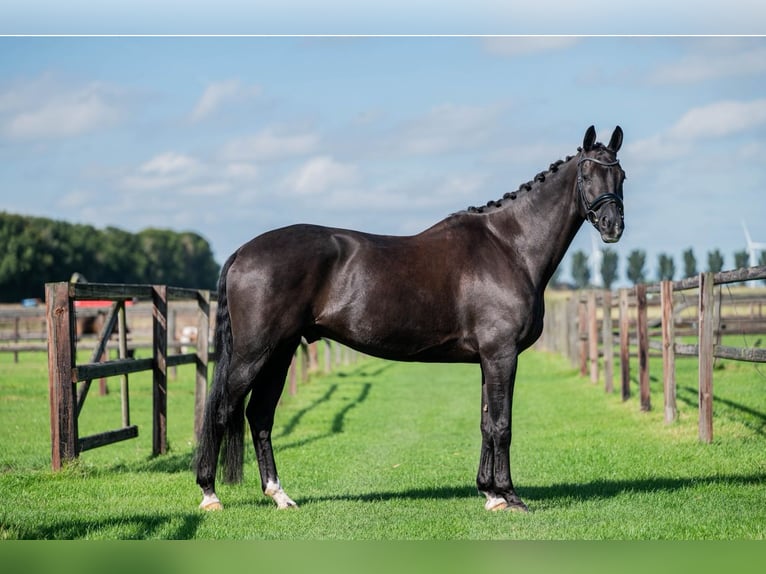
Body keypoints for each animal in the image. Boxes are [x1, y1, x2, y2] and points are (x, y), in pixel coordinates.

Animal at [196, 125, 626, 513]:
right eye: (587, 175)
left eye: (620, 176)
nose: (613, 227)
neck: (509, 247)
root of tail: (242, 252)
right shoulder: (502, 355)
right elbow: (502, 425)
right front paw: (511, 496)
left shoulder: (489, 359)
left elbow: (486, 423)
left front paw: (490, 494)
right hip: (254, 354)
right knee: (219, 411)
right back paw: (210, 495)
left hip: (280, 353)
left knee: (259, 415)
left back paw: (280, 496)